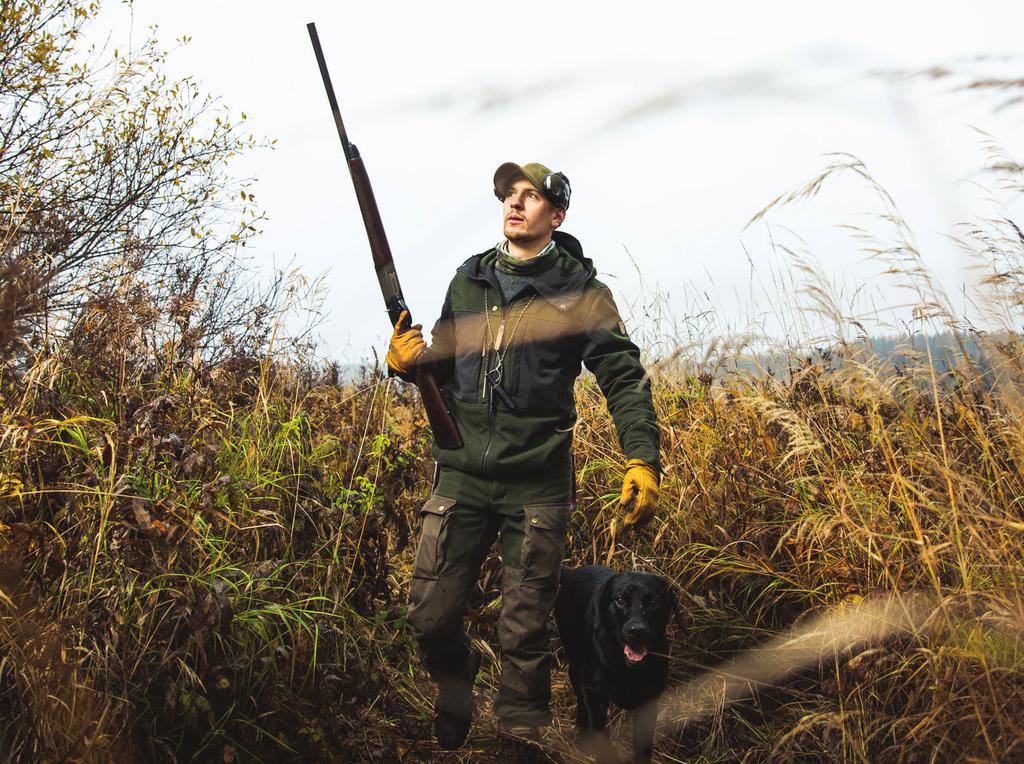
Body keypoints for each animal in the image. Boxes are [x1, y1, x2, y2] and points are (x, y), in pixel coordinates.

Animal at [557, 561, 675, 757]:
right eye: (620, 600)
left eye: (653, 602)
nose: (636, 631)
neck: (625, 667)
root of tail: (572, 572)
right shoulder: (592, 691)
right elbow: (600, 737)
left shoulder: (648, 703)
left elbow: (643, 749)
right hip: (575, 664)